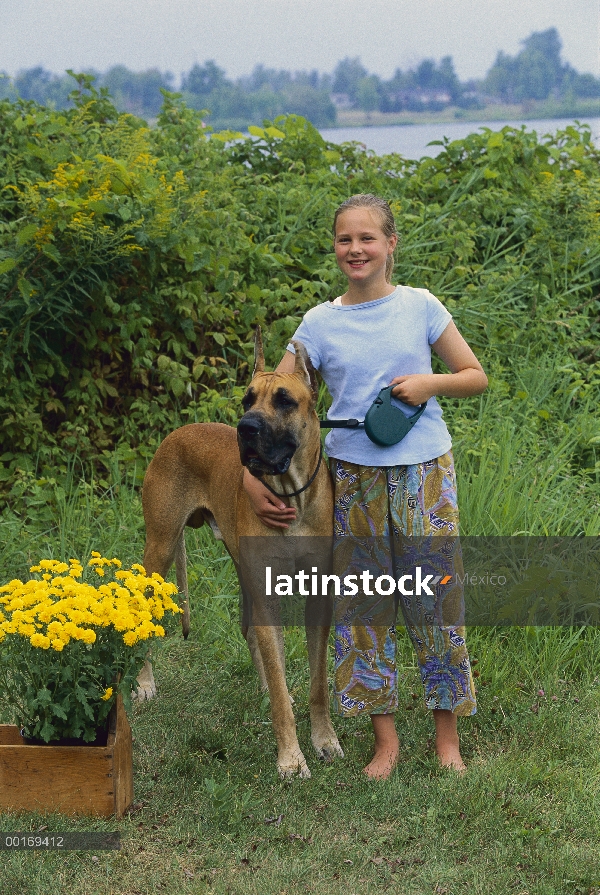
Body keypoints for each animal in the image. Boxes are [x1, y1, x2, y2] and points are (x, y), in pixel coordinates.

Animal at [137, 328, 342, 776]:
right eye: (247, 399)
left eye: (284, 400)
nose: (245, 428)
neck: (291, 496)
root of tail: (177, 432)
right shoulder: (268, 594)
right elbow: (282, 695)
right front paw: (290, 759)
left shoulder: (318, 597)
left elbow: (317, 681)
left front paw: (324, 739)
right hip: (160, 547)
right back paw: (143, 683)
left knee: (253, 632)